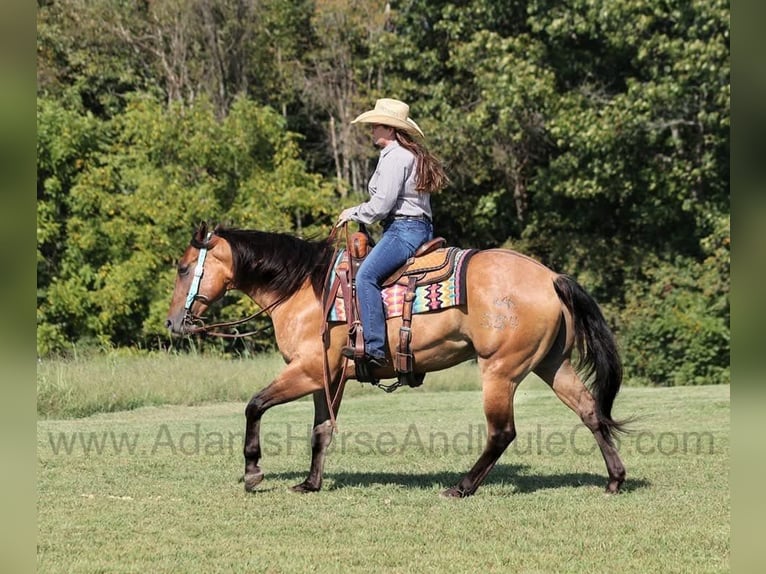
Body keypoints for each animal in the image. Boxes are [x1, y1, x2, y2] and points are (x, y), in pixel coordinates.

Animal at [165, 223, 627, 497]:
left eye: (185, 268)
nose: (173, 322)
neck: (305, 289)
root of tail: (549, 277)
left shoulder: (307, 371)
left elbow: (254, 405)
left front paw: (252, 471)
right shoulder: (326, 379)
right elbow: (320, 432)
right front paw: (310, 483)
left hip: (500, 370)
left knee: (502, 433)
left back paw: (461, 487)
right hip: (552, 364)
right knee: (590, 412)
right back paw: (615, 479)